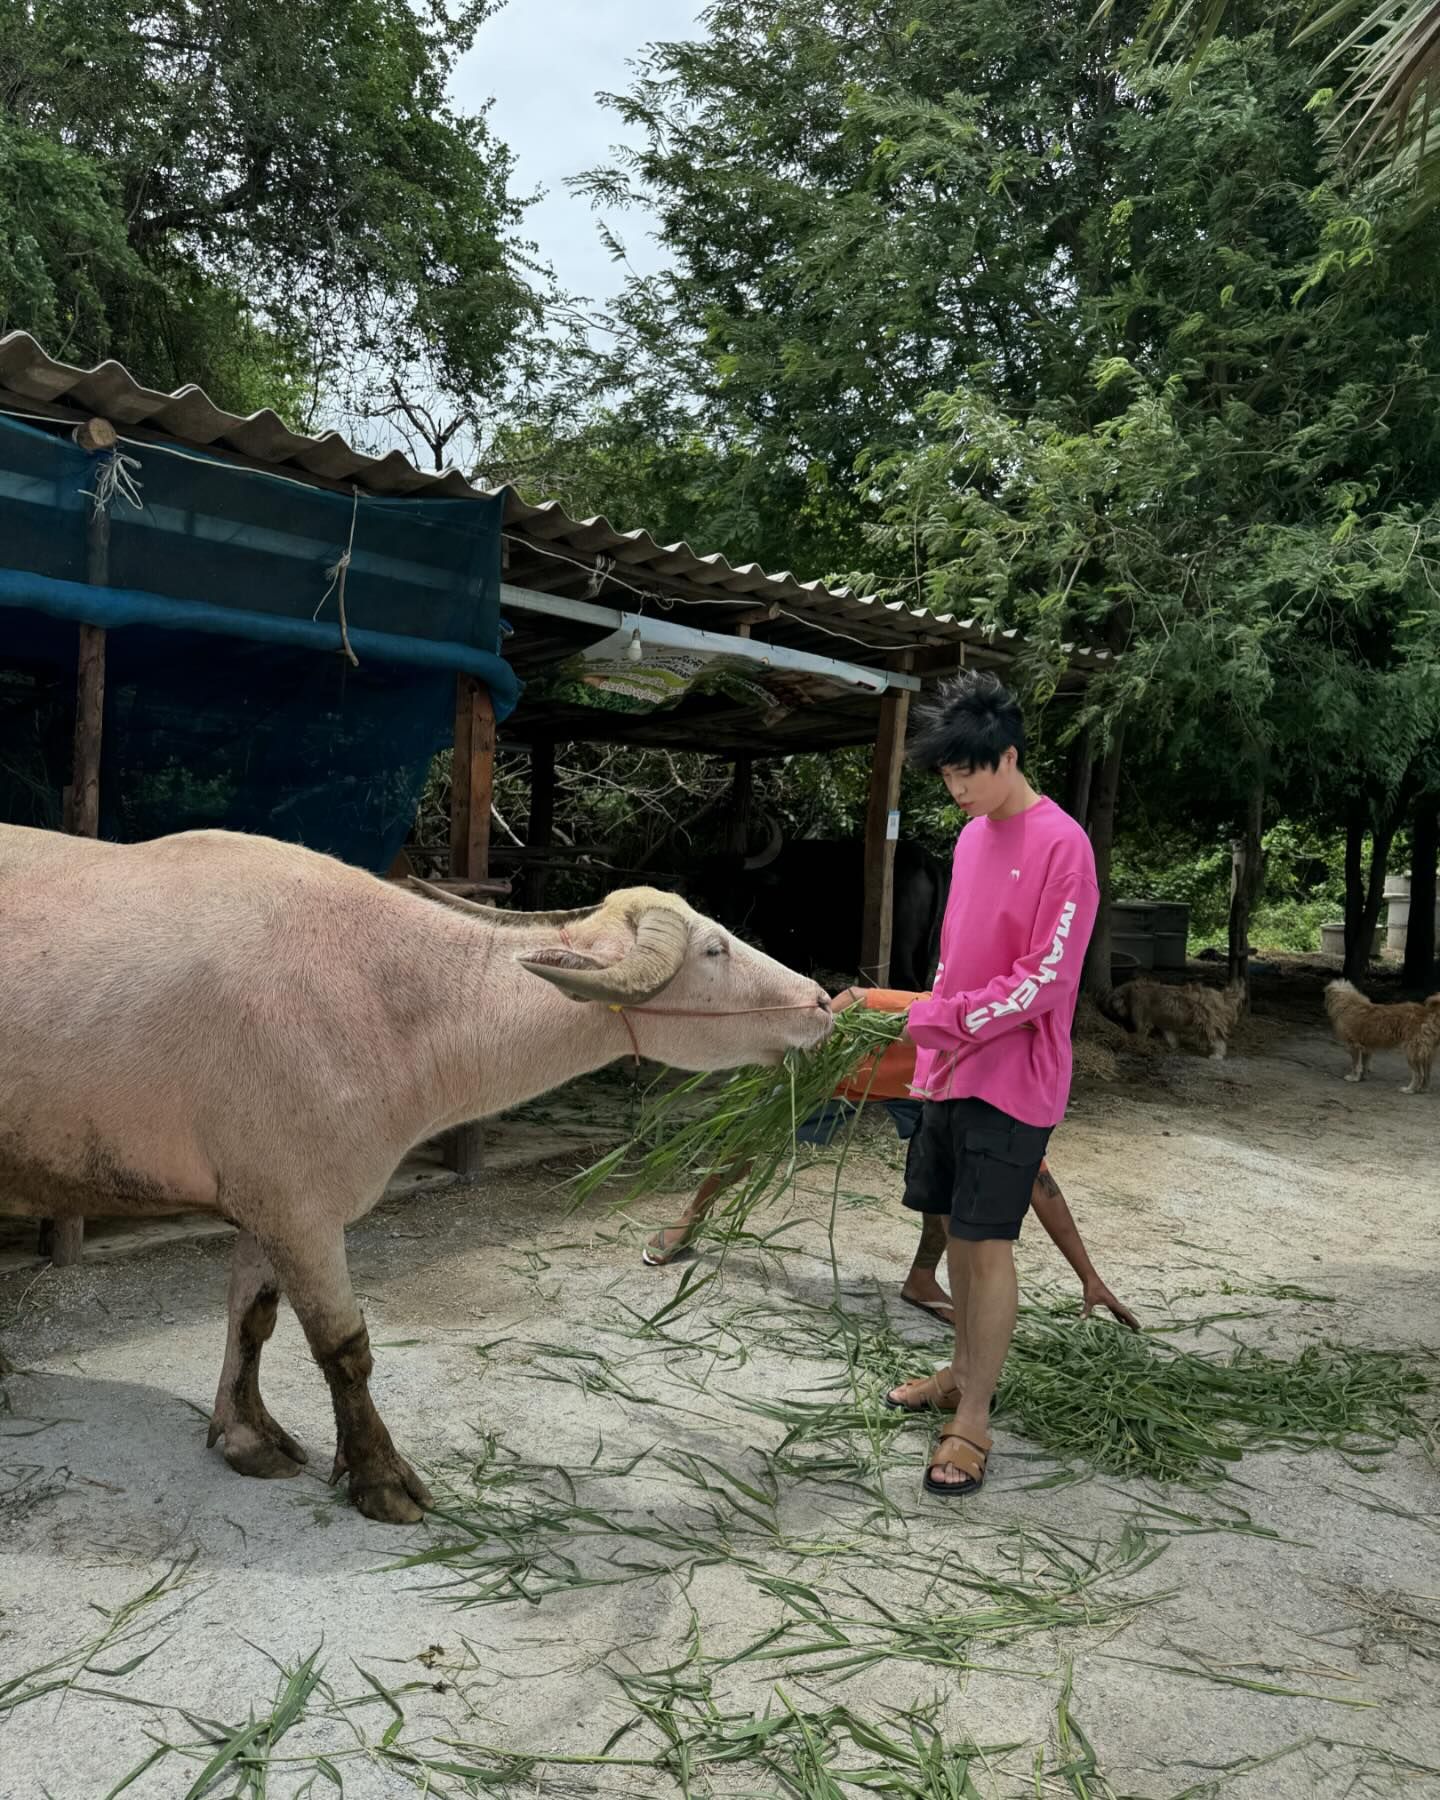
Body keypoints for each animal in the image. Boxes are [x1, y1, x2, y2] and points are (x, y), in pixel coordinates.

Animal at [0, 828, 831, 1519]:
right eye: (715, 950)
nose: (823, 1001)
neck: (398, 996)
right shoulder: (302, 1209)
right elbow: (345, 1348)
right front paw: (382, 1482)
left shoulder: (271, 1198)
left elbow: (250, 1318)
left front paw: (249, 1438)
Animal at [1108, 979, 1245, 1058]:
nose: (1114, 1011)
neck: (1132, 991)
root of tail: (1223, 996)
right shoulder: (1166, 1026)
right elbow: (1170, 1038)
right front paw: (1173, 1047)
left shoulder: (1142, 1020)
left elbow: (1141, 1033)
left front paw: (1138, 1042)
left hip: (1210, 1025)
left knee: (1219, 1041)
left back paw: (1216, 1055)